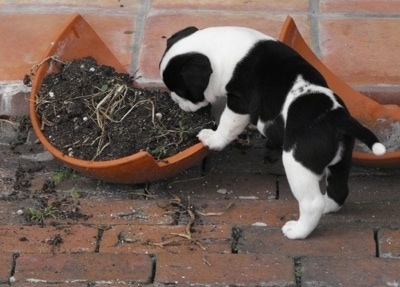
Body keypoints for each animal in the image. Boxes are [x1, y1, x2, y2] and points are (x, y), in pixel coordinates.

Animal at [159, 26, 388, 241]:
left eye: (181, 91)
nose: (175, 100)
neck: (221, 50)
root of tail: (337, 117)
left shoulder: (240, 104)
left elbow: (226, 125)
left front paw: (213, 138)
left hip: (298, 164)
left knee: (312, 203)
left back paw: (298, 231)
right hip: (341, 161)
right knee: (338, 190)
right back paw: (327, 206)